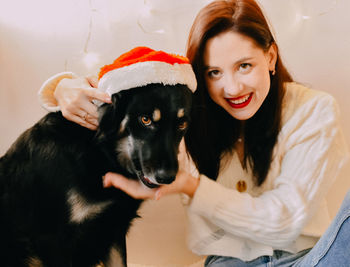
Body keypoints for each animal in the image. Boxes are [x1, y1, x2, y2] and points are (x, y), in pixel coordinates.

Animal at [0, 82, 191, 266]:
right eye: (145, 119)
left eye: (182, 125)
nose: (167, 177)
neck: (99, 151)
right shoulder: (51, 240)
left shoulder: (113, 228)